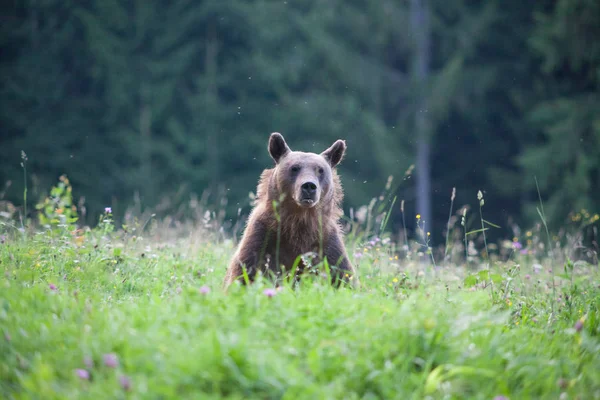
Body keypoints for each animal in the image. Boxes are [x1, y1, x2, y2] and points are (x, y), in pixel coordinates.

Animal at [224, 133, 356, 290]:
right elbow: (245, 273)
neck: (298, 222)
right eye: (294, 168)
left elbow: (342, 277)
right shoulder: (262, 238)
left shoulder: (327, 244)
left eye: (320, 170)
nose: (309, 186)